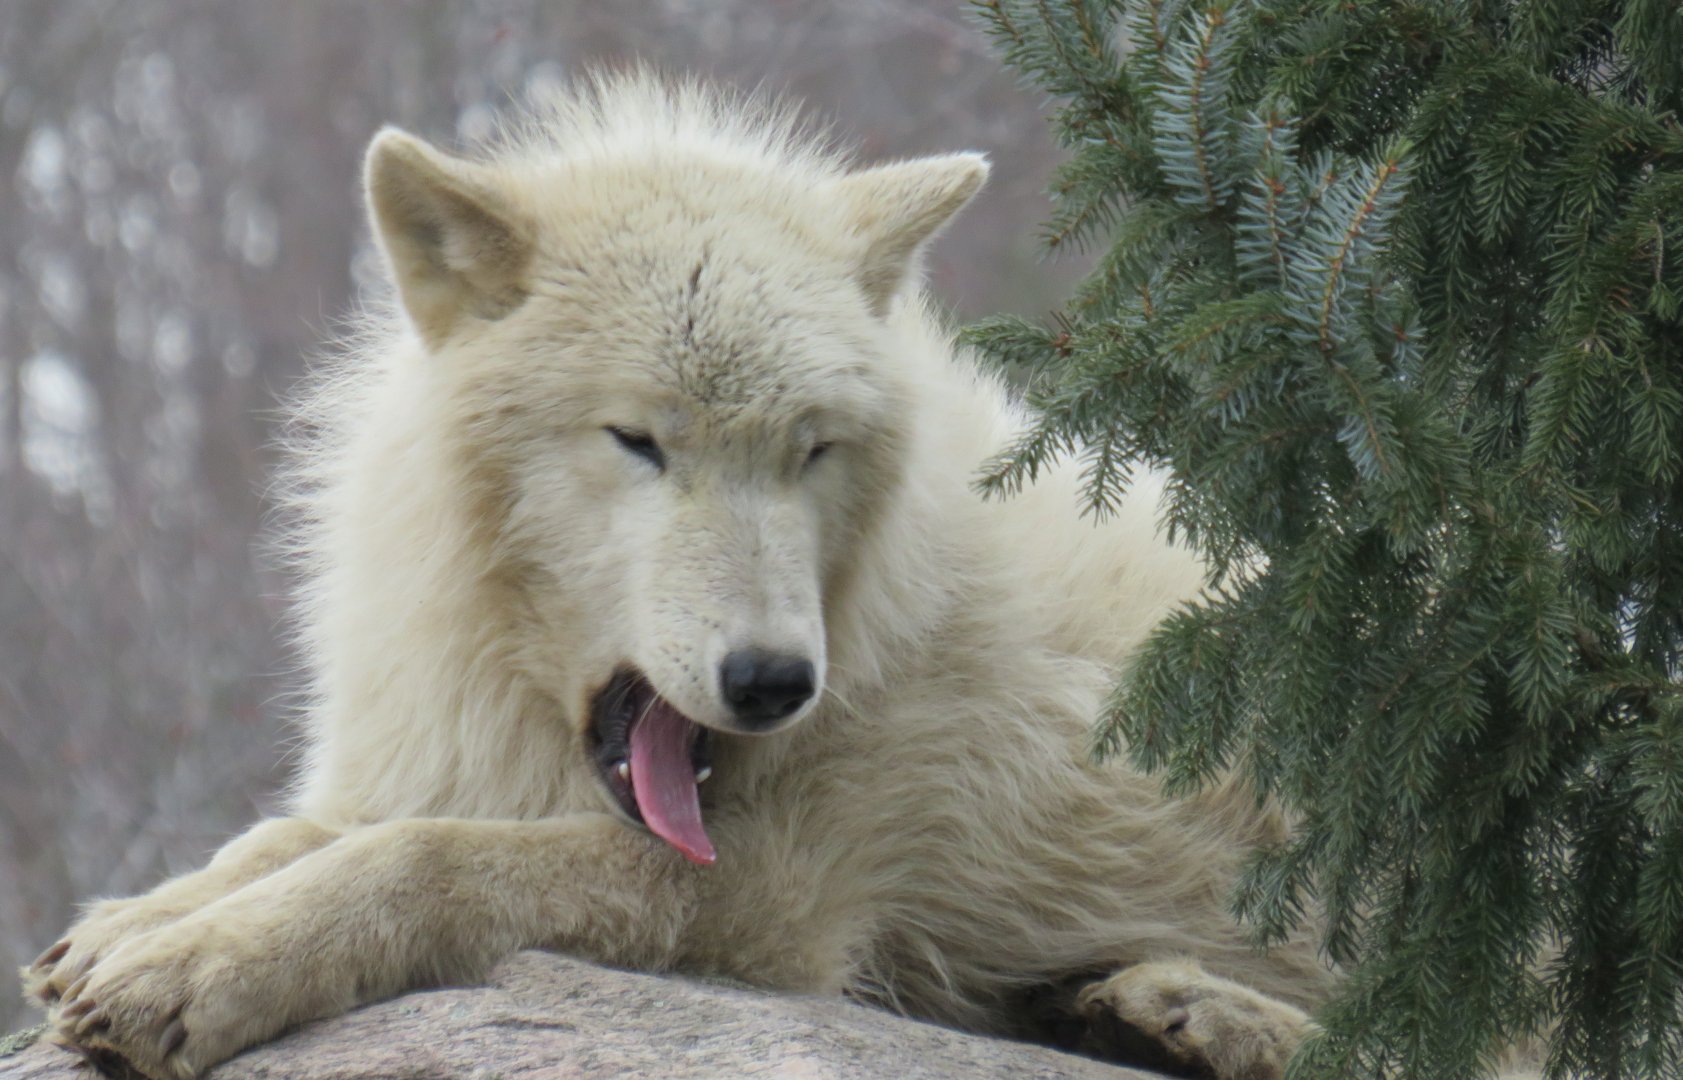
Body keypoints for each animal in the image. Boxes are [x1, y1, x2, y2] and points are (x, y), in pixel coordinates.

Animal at [22, 74, 1335, 1079]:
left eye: (812, 450)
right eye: (639, 441)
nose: (772, 682)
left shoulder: (776, 897)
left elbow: (422, 853)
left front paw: (194, 971)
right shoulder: (436, 754)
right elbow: (292, 834)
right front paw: (134, 924)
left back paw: (1208, 1015)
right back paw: (1139, 1008)